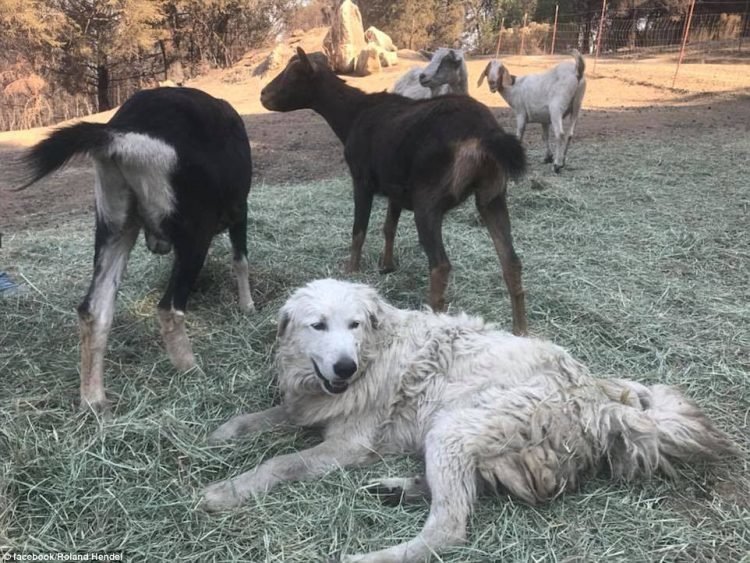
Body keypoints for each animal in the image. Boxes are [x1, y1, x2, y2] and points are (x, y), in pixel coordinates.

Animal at [14, 89, 254, 414]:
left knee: (93, 310)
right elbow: (240, 260)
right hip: (194, 230)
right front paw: (248, 306)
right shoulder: (239, 209)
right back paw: (192, 370)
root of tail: (121, 133)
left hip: (114, 223)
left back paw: (94, 400)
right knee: (169, 308)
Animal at [200, 280, 736, 563]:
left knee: (448, 528)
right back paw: (399, 489)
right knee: (464, 492)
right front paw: (223, 433)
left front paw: (228, 490)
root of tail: (595, 400)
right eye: (318, 326)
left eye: (353, 325)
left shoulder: (347, 445)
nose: (345, 367)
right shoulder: (312, 404)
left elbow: (280, 463)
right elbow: (268, 417)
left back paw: (370, 554)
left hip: (453, 426)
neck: (373, 352)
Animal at [262, 49, 528, 334]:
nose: (263, 95)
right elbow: (389, 226)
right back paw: (521, 331)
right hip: (493, 195)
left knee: (440, 265)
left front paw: (351, 270)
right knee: (511, 262)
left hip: (429, 200)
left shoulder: (362, 179)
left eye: (293, 74)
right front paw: (386, 265)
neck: (352, 115)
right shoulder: (396, 188)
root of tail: (487, 136)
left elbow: (359, 229)